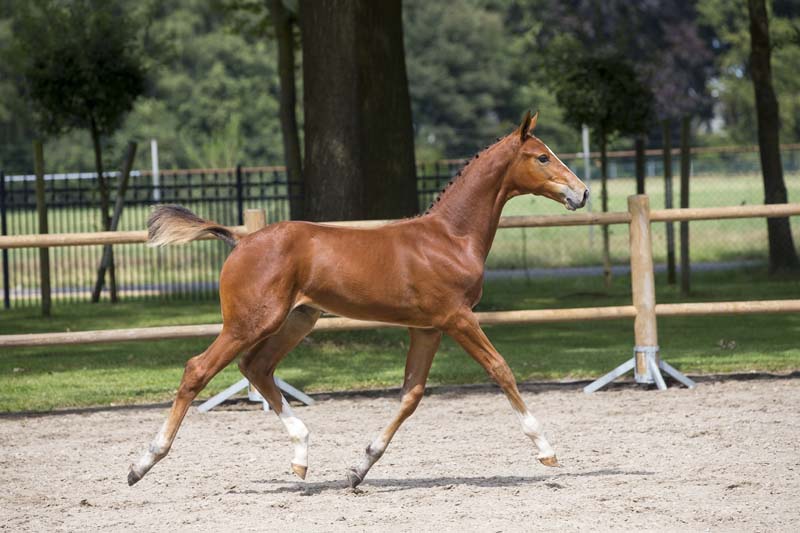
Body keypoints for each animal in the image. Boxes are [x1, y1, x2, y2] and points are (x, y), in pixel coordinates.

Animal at [126, 112, 588, 486]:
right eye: (542, 157)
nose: (582, 193)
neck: (450, 238)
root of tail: (239, 240)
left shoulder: (427, 328)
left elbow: (411, 395)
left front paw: (359, 468)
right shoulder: (458, 318)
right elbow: (501, 370)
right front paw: (546, 451)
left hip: (297, 319)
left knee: (256, 368)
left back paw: (301, 455)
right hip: (250, 322)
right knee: (198, 369)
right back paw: (143, 464)